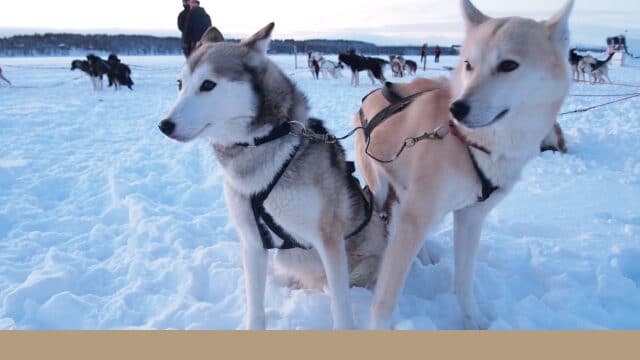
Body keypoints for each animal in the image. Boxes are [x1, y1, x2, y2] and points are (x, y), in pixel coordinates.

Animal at [158, 23, 384, 330]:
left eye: (207, 85)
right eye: (180, 85)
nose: (164, 125)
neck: (260, 145)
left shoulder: (328, 238)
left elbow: (340, 305)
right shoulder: (252, 241)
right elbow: (255, 302)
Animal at [356, 0, 576, 330]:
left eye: (508, 65)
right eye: (469, 64)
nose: (456, 108)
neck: (470, 143)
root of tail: (372, 94)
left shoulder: (471, 217)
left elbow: (463, 281)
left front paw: (473, 322)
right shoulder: (416, 217)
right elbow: (385, 298)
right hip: (381, 186)